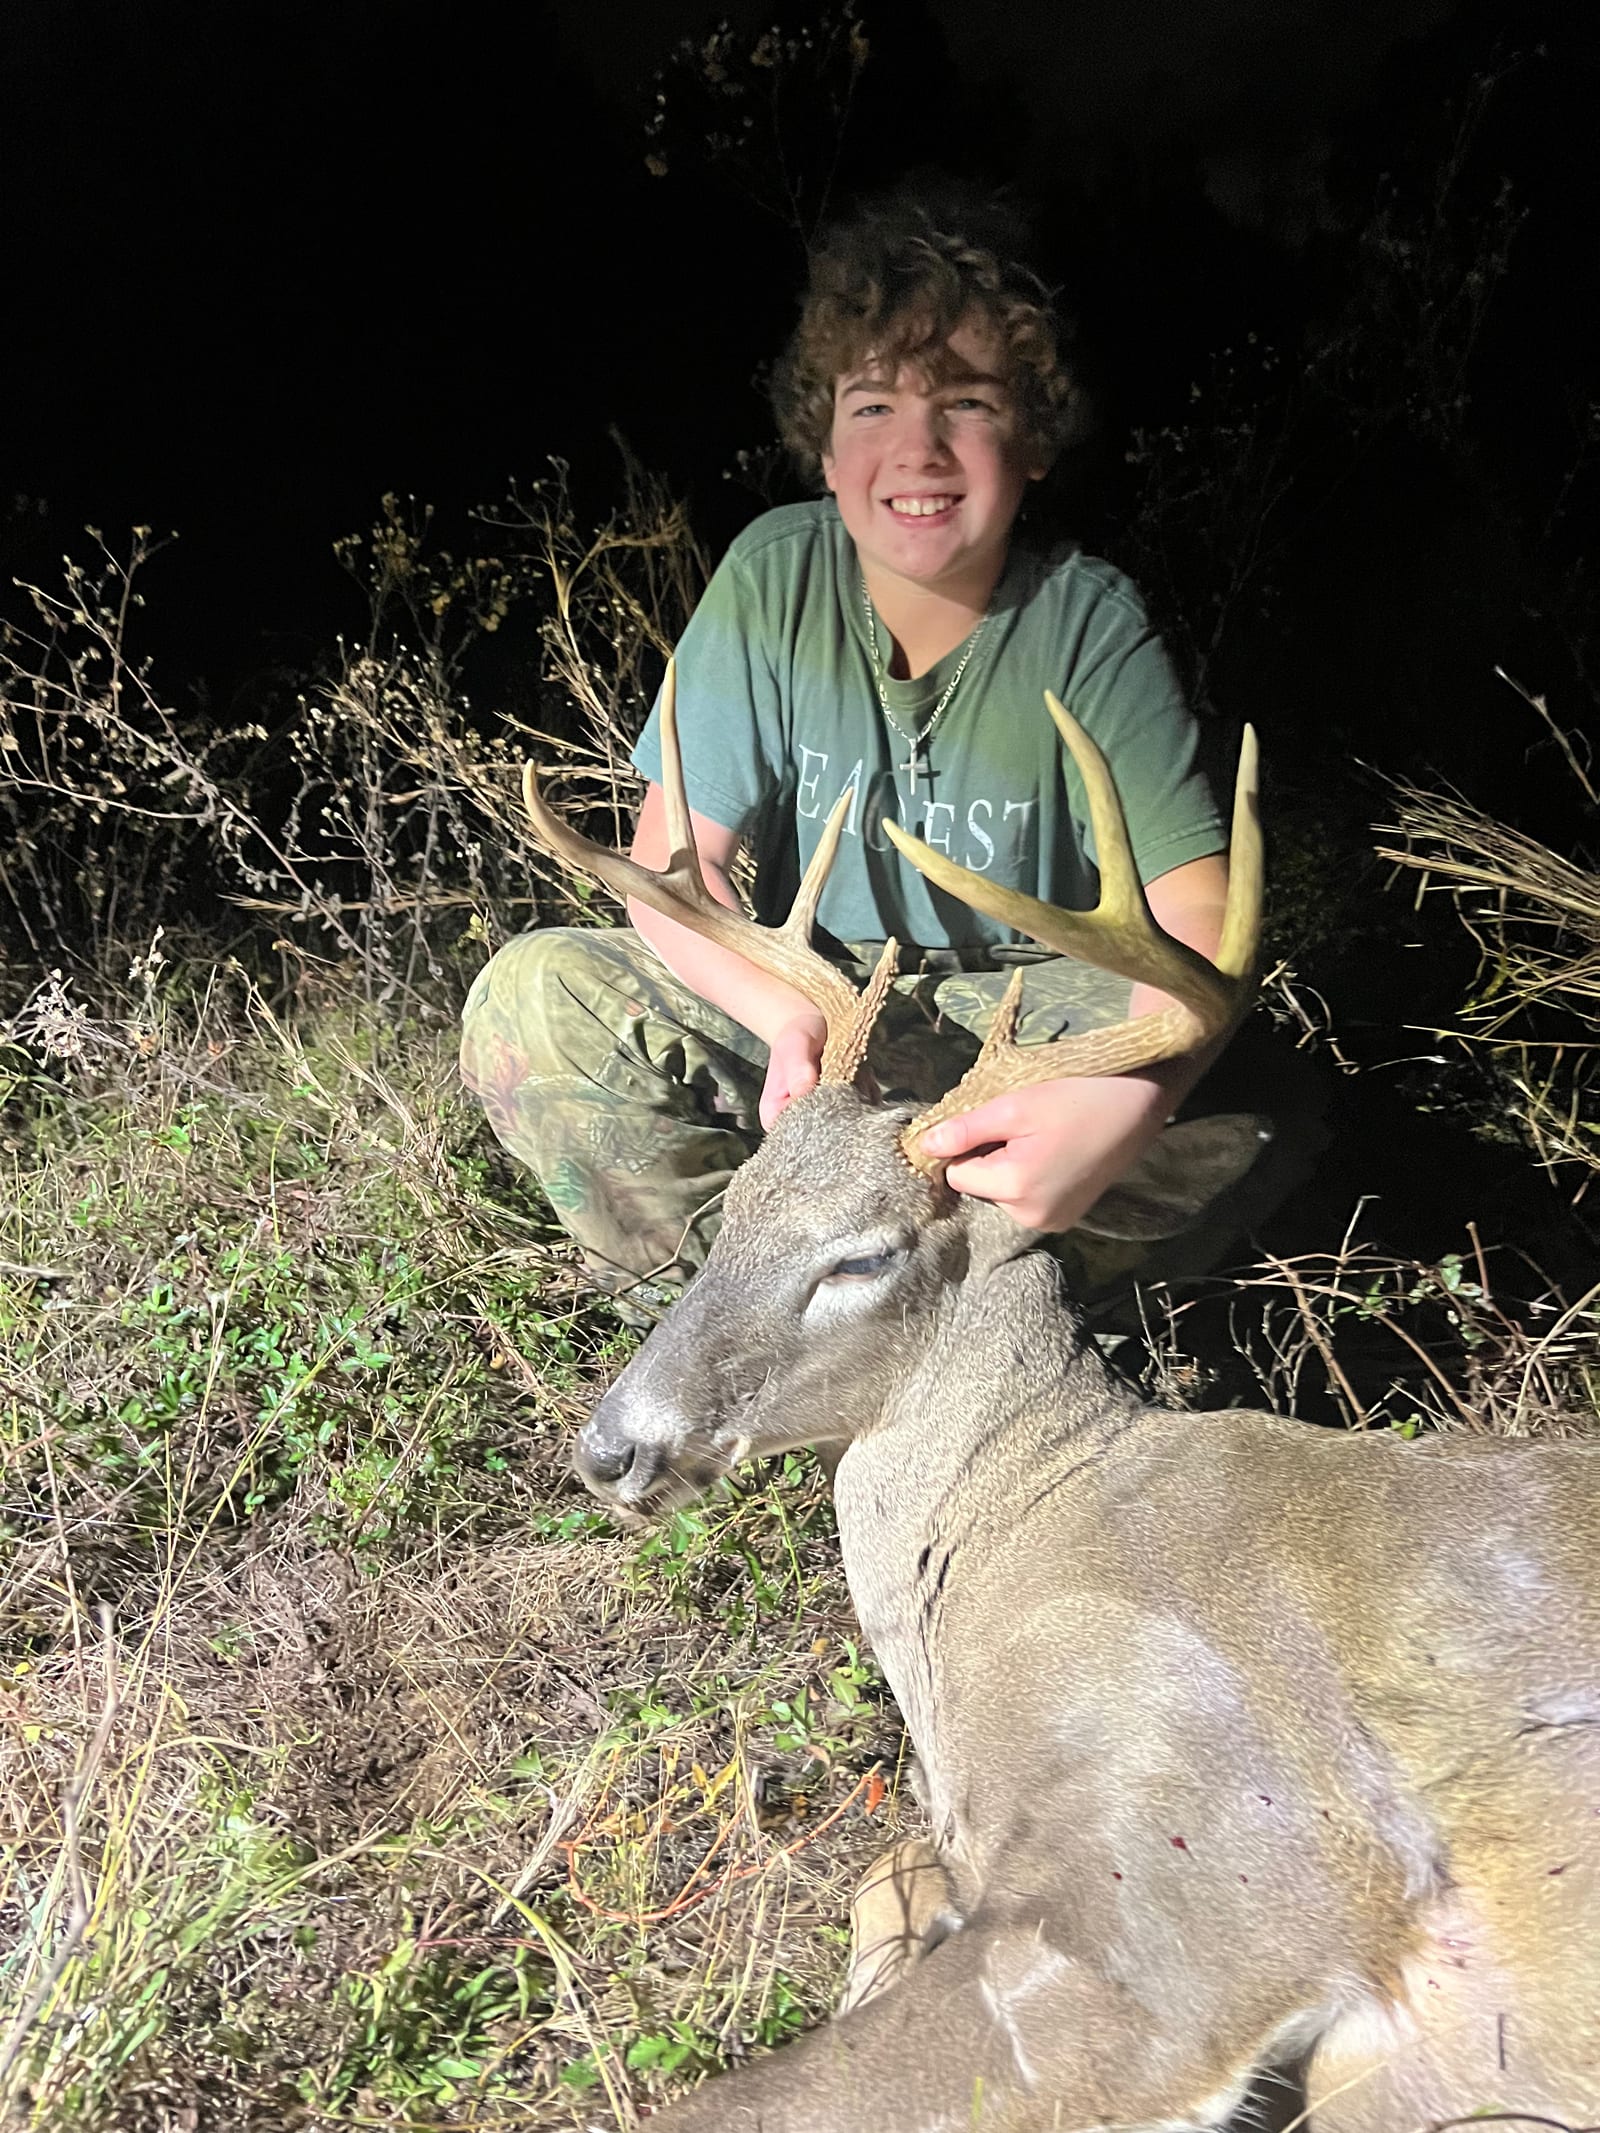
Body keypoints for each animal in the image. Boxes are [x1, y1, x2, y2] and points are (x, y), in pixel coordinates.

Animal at [520, 670, 1600, 2133]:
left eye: (859, 1257)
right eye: (733, 1203)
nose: (609, 1449)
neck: (1023, 1525)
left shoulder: (1186, 1874)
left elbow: (758, 2098)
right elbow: (883, 1877)